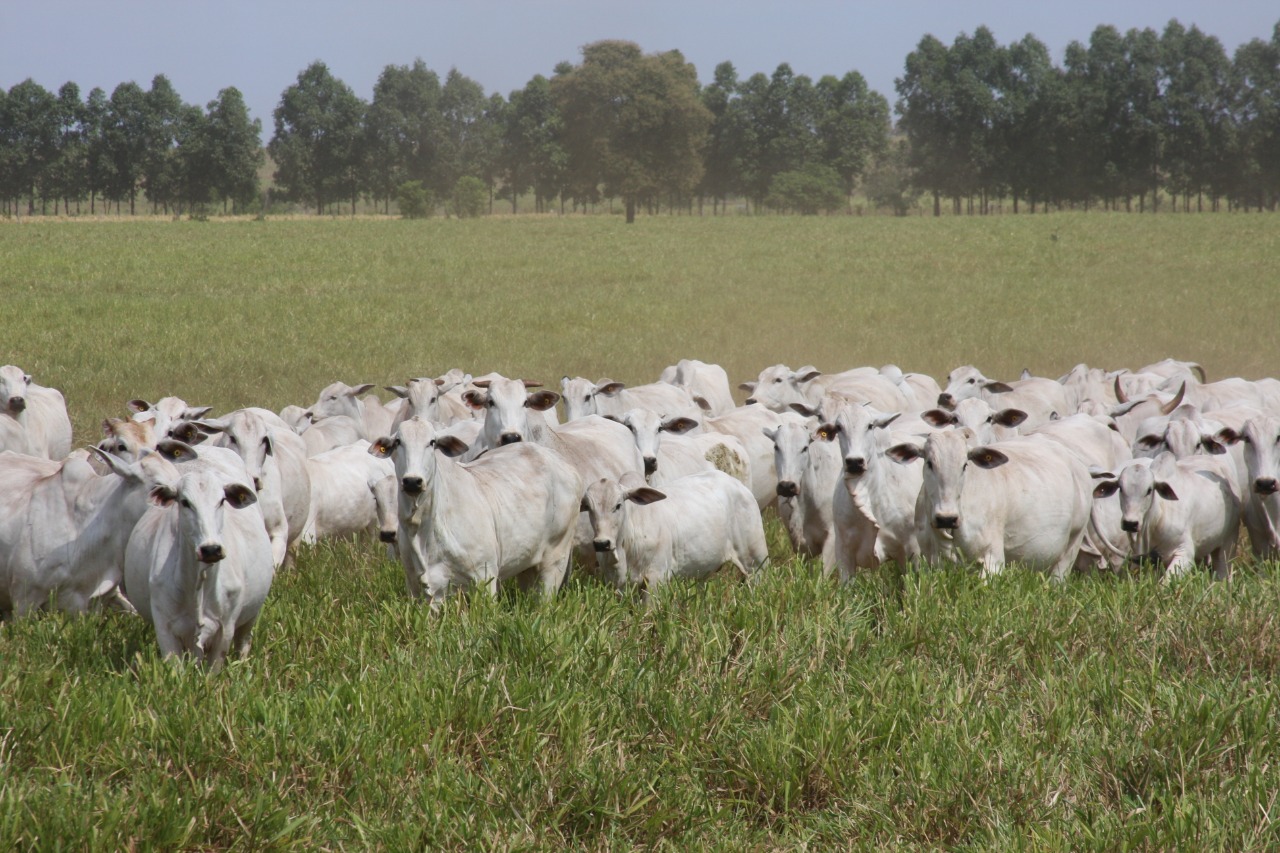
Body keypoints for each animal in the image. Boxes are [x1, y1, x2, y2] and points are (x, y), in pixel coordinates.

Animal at [124, 458, 272, 666]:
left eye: (222, 500)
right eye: (185, 502)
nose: (211, 549)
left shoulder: (225, 629)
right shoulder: (165, 627)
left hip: (250, 616)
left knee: (243, 642)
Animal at [368, 417, 583, 604]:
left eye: (432, 442)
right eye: (398, 442)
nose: (412, 481)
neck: (423, 530)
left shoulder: (484, 576)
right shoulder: (417, 587)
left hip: (555, 559)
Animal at [583, 468, 768, 594]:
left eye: (618, 505)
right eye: (588, 508)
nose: (602, 543)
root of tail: (739, 485)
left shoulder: (656, 578)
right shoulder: (616, 584)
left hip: (756, 563)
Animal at [890, 425, 1090, 578]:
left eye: (965, 465)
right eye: (930, 463)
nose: (946, 518)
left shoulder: (993, 558)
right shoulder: (932, 560)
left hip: (1071, 547)